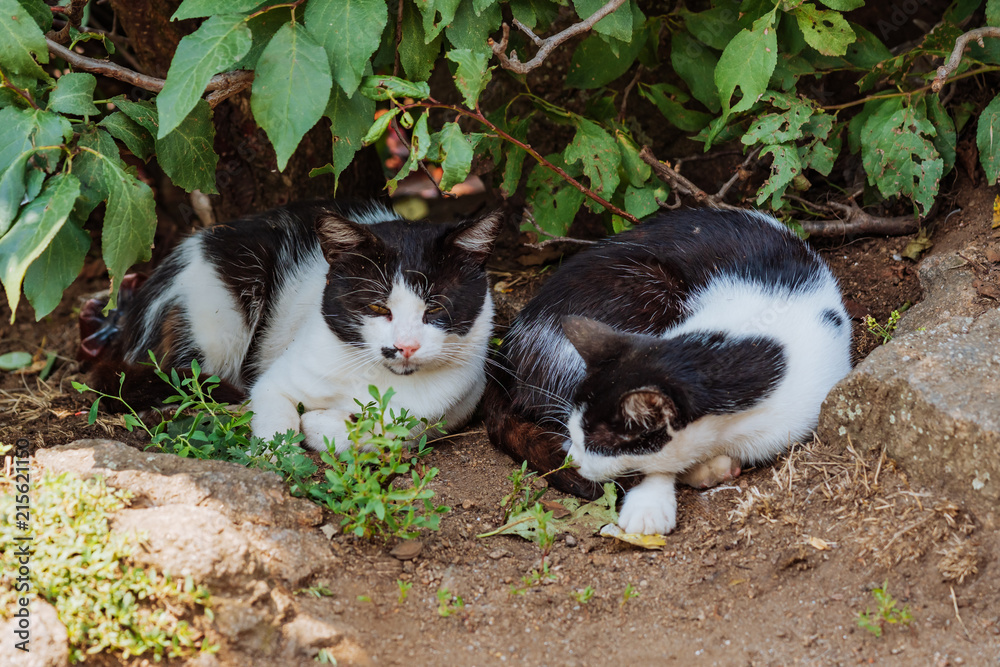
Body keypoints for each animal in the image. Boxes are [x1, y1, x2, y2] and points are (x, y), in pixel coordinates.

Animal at [79, 201, 504, 452]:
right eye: (376, 306)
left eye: (436, 308)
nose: (406, 346)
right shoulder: (277, 381)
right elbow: (276, 418)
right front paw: (276, 449)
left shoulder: (457, 404)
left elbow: (393, 430)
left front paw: (325, 423)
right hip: (217, 313)